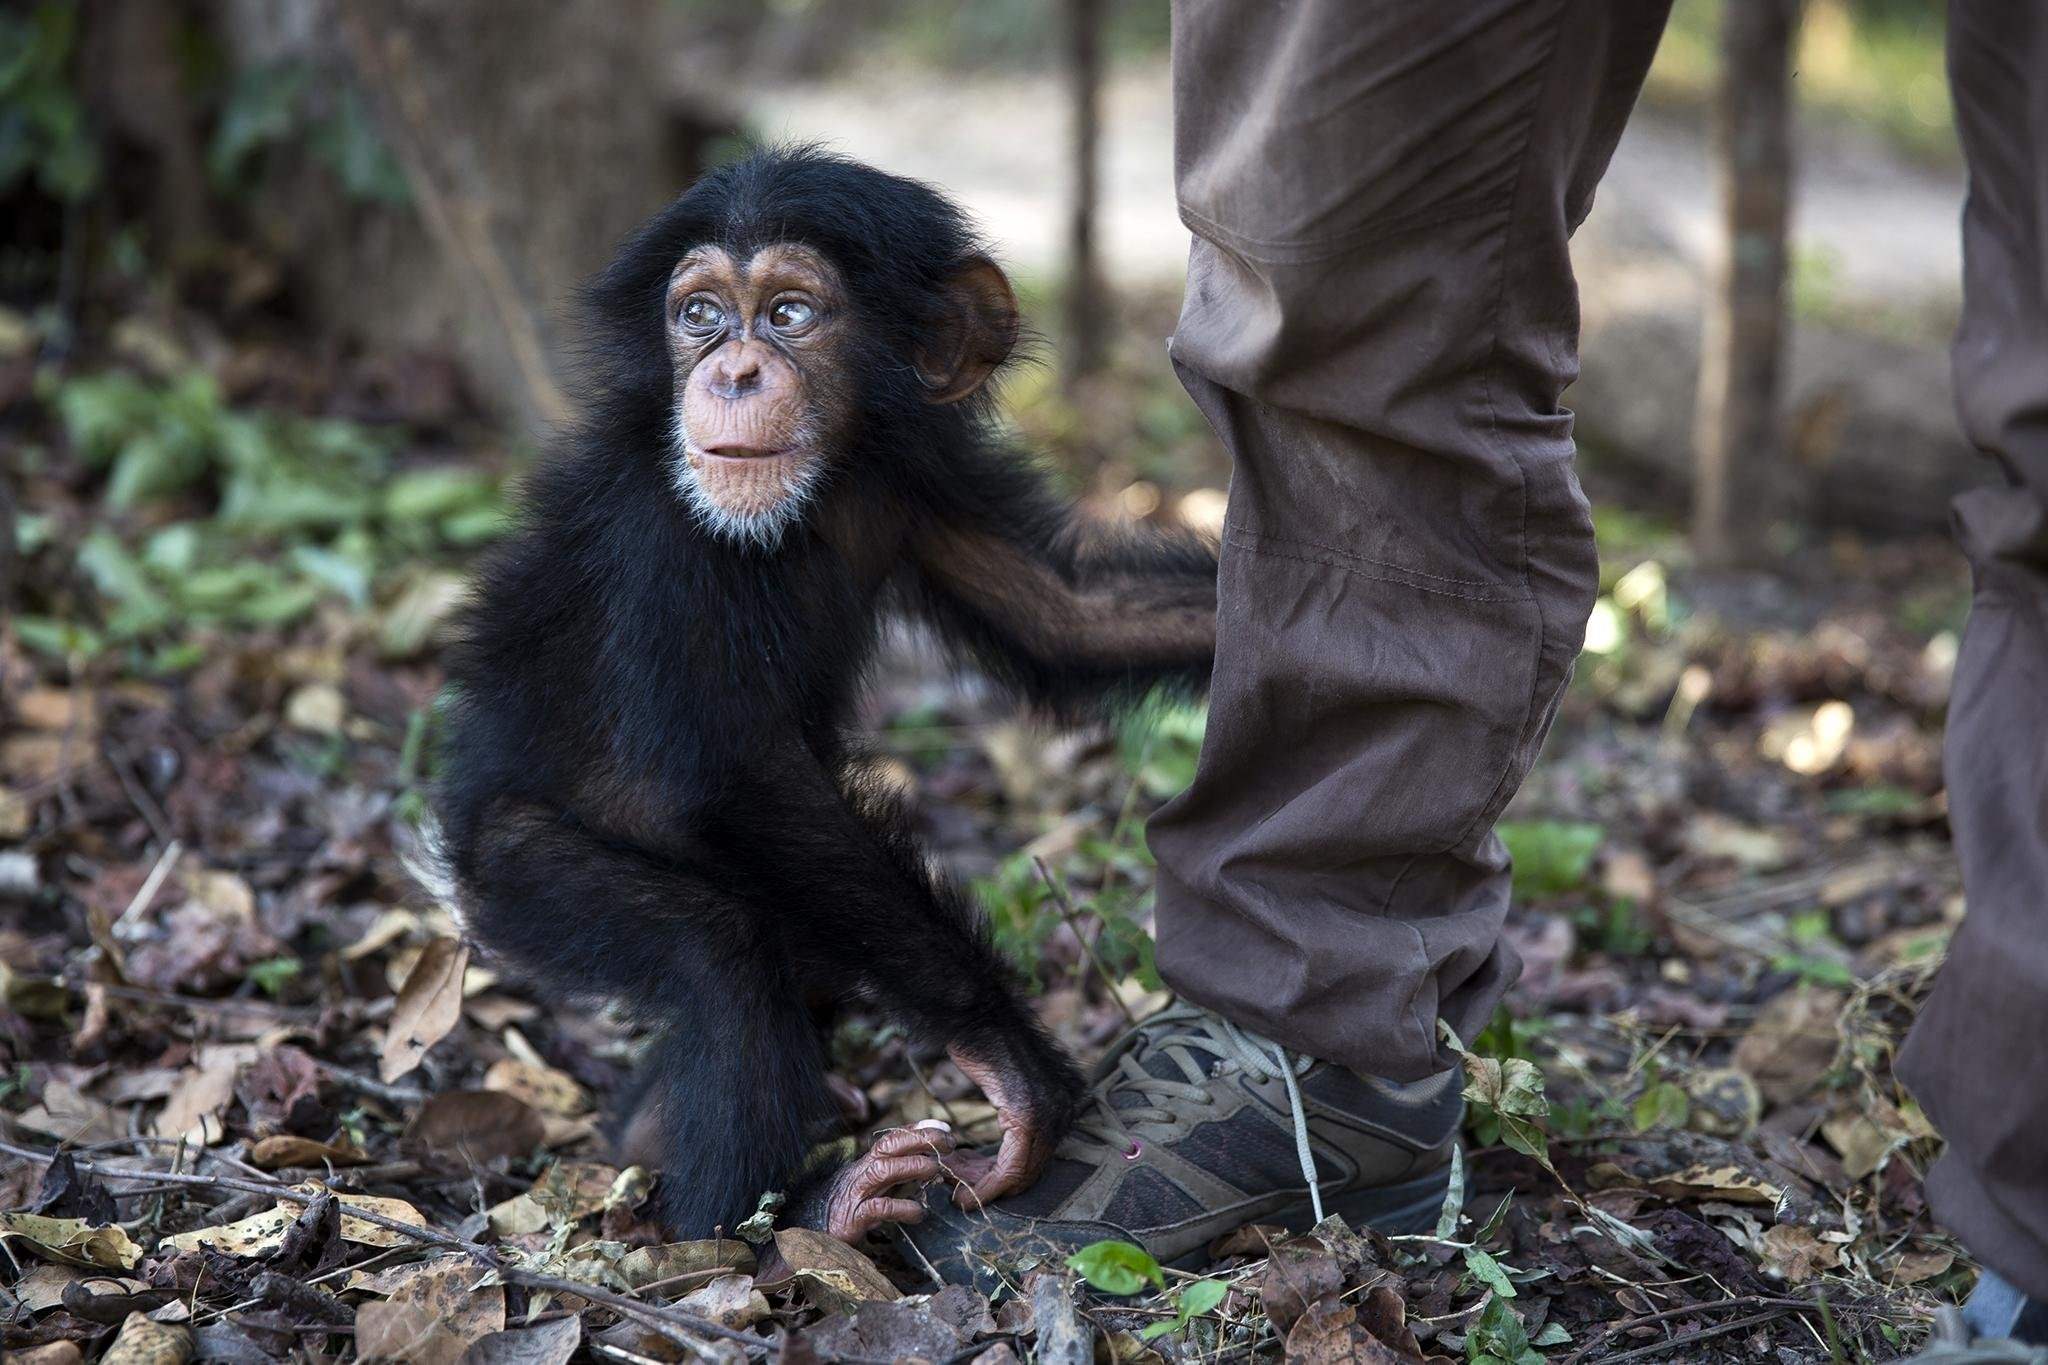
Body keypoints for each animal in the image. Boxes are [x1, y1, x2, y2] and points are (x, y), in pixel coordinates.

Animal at [436, 149, 1212, 1236]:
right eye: (700, 314)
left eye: (790, 313)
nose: (731, 371)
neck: (820, 489)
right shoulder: (657, 535)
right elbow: (734, 775)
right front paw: (1011, 1061)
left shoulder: (920, 469)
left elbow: (1067, 614)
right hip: (517, 874)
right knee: (720, 960)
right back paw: (791, 1216)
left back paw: (657, 1138)